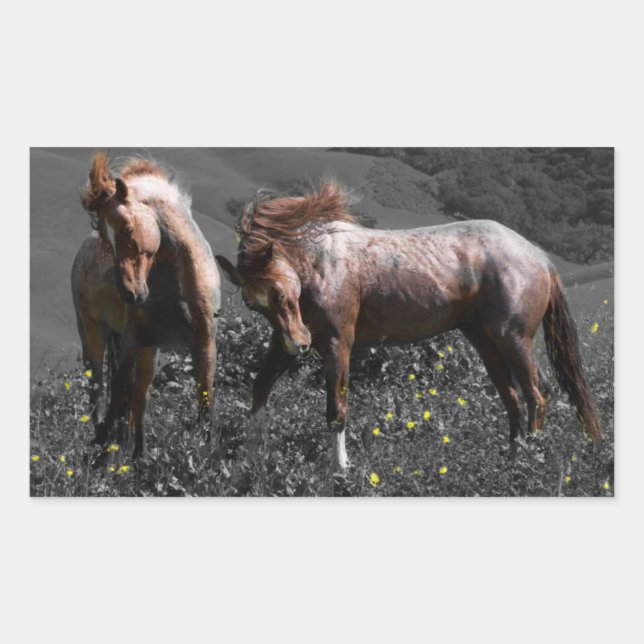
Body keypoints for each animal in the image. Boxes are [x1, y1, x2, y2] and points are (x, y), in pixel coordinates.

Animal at [72, 152, 221, 458]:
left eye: (128, 229)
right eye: (105, 238)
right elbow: (118, 393)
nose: (130, 293)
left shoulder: (205, 345)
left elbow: (205, 404)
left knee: (140, 399)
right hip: (95, 336)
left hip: (149, 351)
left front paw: (206, 456)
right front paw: (101, 452)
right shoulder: (131, 340)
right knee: (98, 395)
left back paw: (138, 456)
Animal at [215, 181, 601, 470]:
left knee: (537, 394)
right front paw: (247, 462)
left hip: (514, 339)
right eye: (254, 303)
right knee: (514, 398)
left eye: (281, 291)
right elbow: (260, 388)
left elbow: (336, 409)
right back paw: (513, 460)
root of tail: (538, 256)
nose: (300, 344)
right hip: (486, 341)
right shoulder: (284, 344)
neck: (322, 262)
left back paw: (531, 459)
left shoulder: (337, 344)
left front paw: (340, 469)